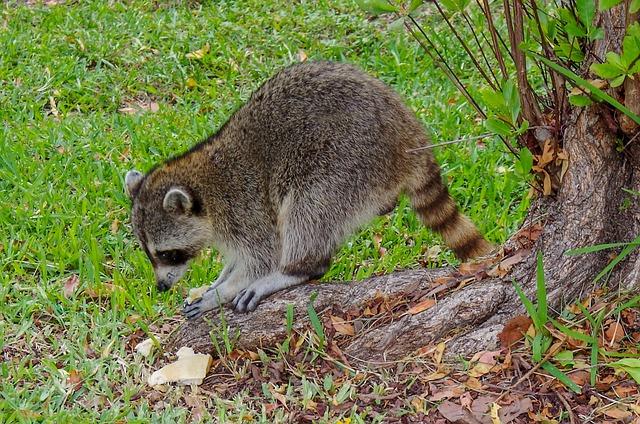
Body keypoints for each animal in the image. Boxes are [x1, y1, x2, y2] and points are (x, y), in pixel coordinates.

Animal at [127, 60, 492, 318]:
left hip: (348, 159)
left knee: (308, 205)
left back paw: (298, 269)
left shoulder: (244, 205)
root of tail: (409, 133)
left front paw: (225, 289)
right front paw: (219, 279)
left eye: (168, 254)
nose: (161, 286)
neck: (202, 184)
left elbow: (262, 256)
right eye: (150, 254)